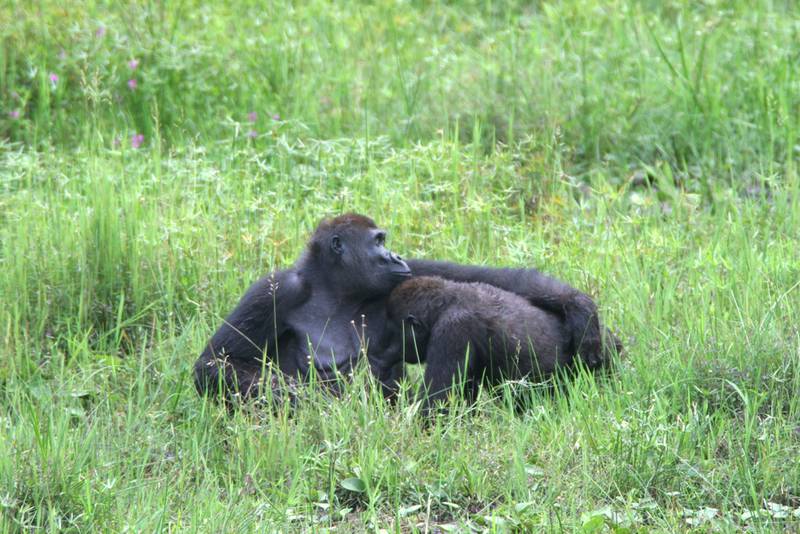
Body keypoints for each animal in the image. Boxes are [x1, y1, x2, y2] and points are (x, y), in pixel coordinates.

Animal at [194, 214, 600, 402]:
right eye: (378, 242)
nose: (396, 256)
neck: (335, 289)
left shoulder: (406, 278)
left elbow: (489, 280)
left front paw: (581, 309)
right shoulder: (274, 289)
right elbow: (215, 363)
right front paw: (295, 395)